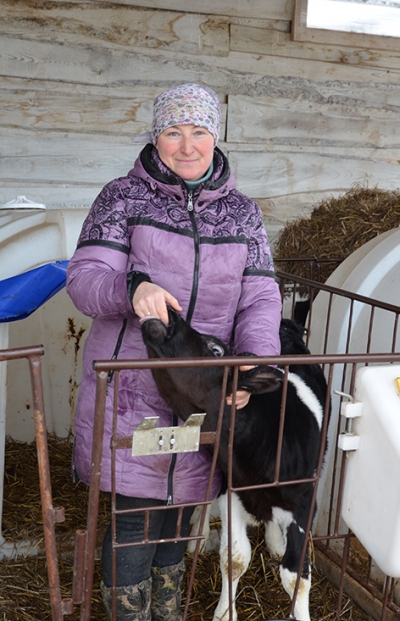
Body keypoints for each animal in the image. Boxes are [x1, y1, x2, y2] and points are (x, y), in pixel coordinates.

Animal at [142, 310, 330, 620]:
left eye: (216, 350)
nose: (170, 314)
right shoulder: (233, 491)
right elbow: (235, 558)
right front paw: (224, 612)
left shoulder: (305, 502)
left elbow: (296, 575)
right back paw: (198, 537)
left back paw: (274, 544)